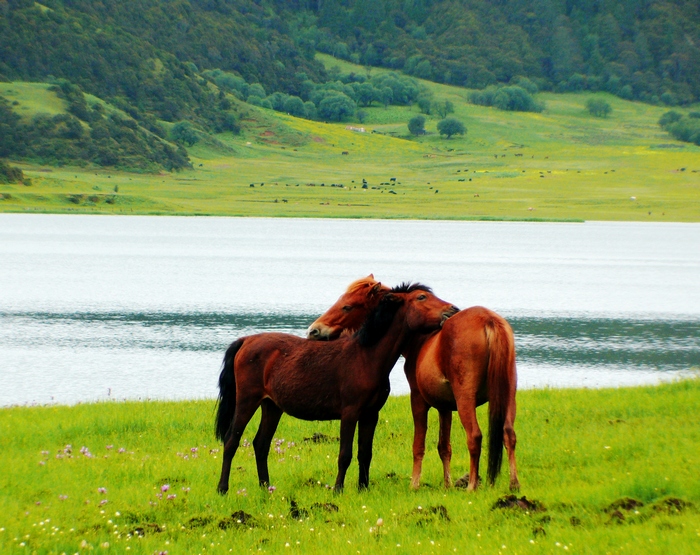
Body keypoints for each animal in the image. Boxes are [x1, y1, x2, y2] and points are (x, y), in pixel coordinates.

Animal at [213, 284, 456, 494]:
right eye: (421, 297)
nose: (452, 310)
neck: (366, 357)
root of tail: (246, 340)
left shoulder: (371, 414)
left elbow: (365, 453)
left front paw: (363, 488)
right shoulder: (350, 413)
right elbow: (345, 454)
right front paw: (338, 489)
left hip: (271, 406)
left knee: (261, 444)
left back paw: (266, 488)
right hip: (247, 401)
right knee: (231, 440)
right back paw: (223, 488)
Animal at [308, 276, 520, 494]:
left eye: (347, 307)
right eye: (422, 296)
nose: (314, 330)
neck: (421, 340)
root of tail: (489, 320)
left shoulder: (417, 399)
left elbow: (418, 445)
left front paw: (415, 483)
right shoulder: (445, 407)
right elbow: (444, 447)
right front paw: (447, 484)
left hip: (465, 400)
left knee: (475, 436)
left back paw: (471, 485)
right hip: (507, 396)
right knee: (508, 434)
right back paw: (513, 483)